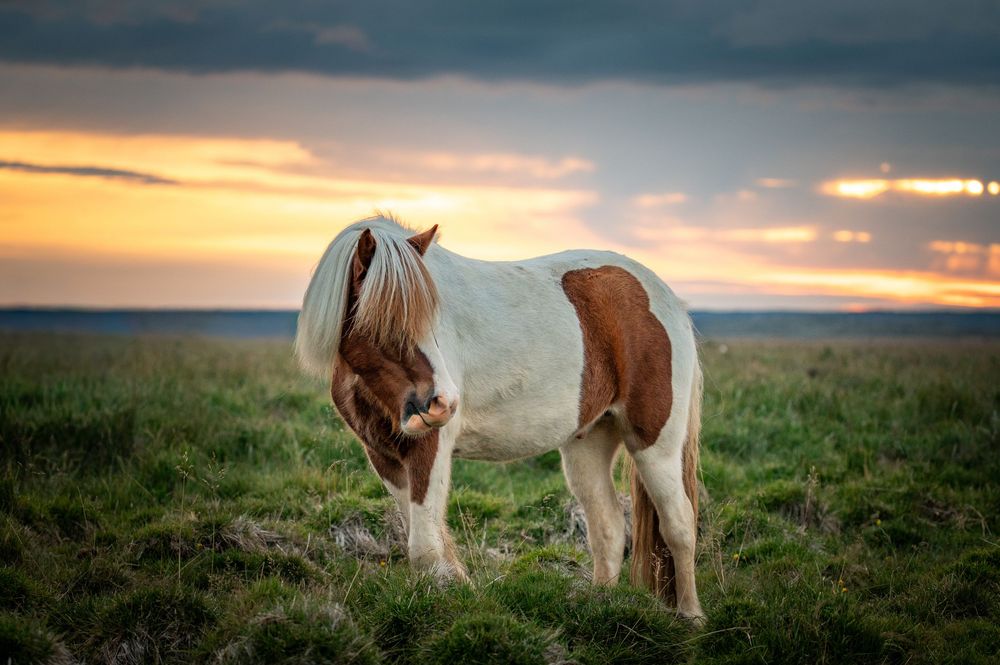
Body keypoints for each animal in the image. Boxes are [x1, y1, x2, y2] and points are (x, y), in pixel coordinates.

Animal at [295, 215, 704, 620]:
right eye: (386, 318)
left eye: (432, 318)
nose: (443, 403)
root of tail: (664, 296)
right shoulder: (383, 456)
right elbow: (423, 540)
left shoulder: (429, 448)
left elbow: (425, 549)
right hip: (589, 441)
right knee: (609, 527)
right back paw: (600, 604)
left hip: (655, 444)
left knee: (679, 524)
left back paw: (692, 616)